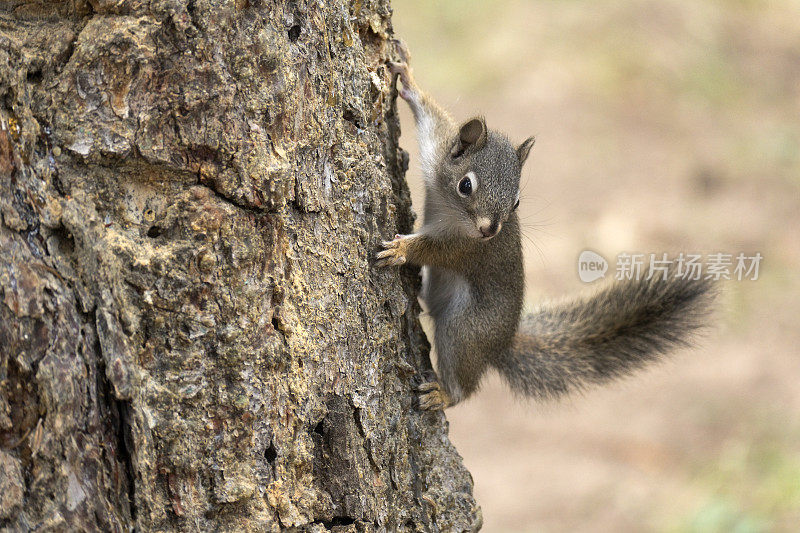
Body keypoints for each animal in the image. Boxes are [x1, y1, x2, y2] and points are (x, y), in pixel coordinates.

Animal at [378, 40, 716, 412]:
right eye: (465, 185)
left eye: (516, 203)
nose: (490, 230)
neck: (451, 209)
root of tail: (502, 344)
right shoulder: (436, 151)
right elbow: (431, 117)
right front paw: (406, 77)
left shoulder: (468, 247)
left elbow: (440, 250)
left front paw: (403, 248)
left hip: (466, 331)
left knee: (464, 383)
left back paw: (444, 394)